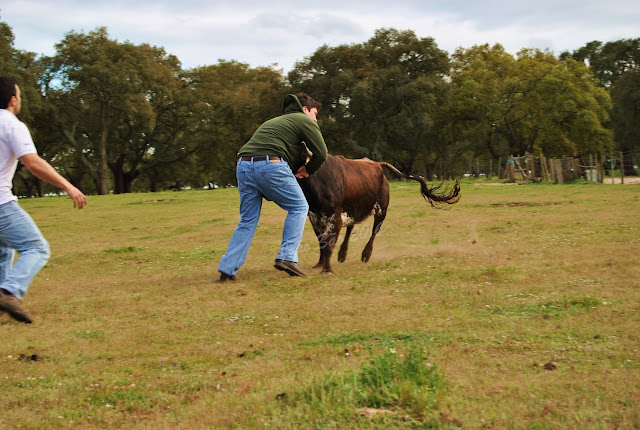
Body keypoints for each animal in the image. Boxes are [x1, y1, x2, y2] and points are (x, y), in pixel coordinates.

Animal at [296, 154, 460, 273]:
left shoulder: (334, 218)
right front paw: (320, 264)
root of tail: (377, 164)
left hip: (381, 210)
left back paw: (365, 254)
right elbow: (321, 242)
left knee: (374, 230)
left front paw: (327, 269)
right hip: (355, 208)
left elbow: (329, 243)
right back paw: (342, 254)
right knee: (351, 227)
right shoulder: (314, 218)